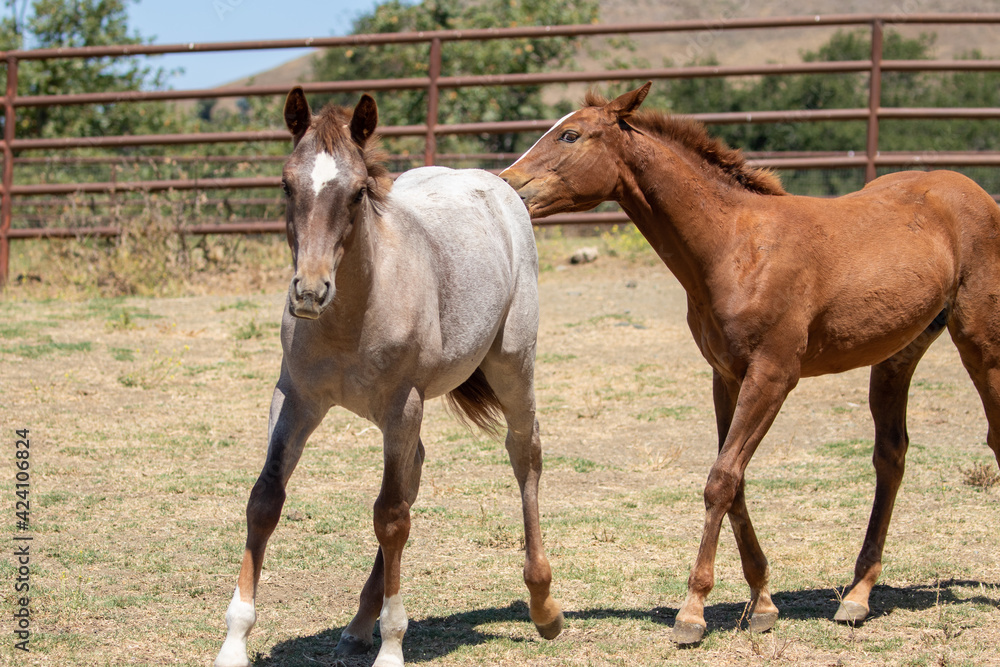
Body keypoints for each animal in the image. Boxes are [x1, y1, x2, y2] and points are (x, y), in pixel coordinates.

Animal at [214, 88, 563, 667]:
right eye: (286, 183)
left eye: (357, 193)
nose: (309, 291)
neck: (351, 318)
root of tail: (496, 183)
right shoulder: (294, 398)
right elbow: (265, 500)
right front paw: (234, 641)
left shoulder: (404, 404)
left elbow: (392, 518)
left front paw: (393, 645)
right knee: (414, 471)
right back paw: (359, 624)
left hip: (512, 364)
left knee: (524, 454)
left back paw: (543, 605)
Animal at [500, 82, 1000, 645]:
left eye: (570, 134)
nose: (508, 184)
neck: (734, 246)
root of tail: (972, 188)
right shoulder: (726, 377)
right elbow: (734, 481)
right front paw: (762, 603)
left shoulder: (773, 375)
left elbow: (721, 479)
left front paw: (692, 611)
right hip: (898, 354)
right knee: (890, 456)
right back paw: (857, 595)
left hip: (980, 340)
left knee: (993, 435)